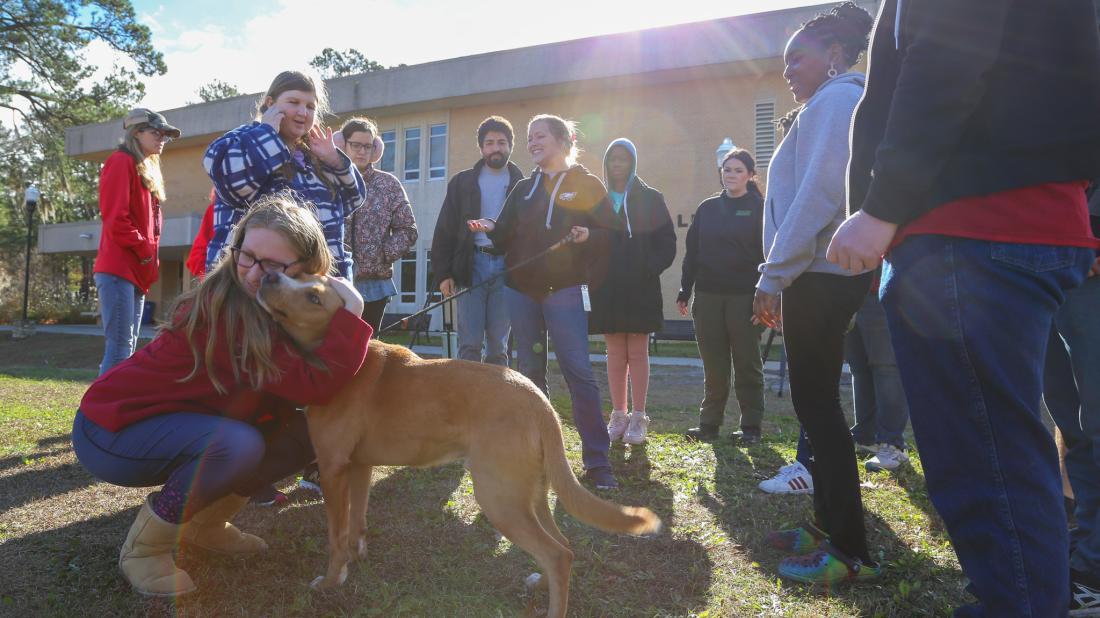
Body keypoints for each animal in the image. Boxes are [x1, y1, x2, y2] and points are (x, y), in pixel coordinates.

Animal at [255, 271, 660, 611]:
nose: (271, 274)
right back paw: (540, 582)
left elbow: (336, 536)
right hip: (530, 494)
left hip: (499, 498)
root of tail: (538, 400)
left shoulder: (333, 468)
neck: (340, 361)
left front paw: (330, 581)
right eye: (301, 275)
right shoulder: (359, 467)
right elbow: (356, 525)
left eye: (314, 296)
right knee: (564, 546)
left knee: (557, 555)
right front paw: (355, 562)